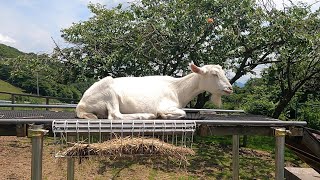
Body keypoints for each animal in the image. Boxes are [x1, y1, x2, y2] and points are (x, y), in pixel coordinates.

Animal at [76, 63, 234, 119]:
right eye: (214, 74)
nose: (229, 88)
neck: (177, 89)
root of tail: (81, 105)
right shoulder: (166, 105)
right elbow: (182, 113)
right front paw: (163, 115)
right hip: (109, 91)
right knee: (115, 115)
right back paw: (146, 115)